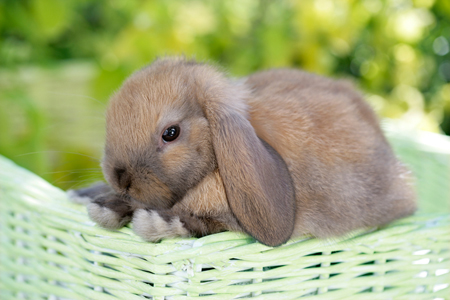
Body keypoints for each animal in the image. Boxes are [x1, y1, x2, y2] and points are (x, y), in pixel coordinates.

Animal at [68, 56, 416, 246]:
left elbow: (201, 225)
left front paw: (153, 223)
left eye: (171, 133)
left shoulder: (228, 222)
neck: (214, 167)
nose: (119, 178)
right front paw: (99, 202)